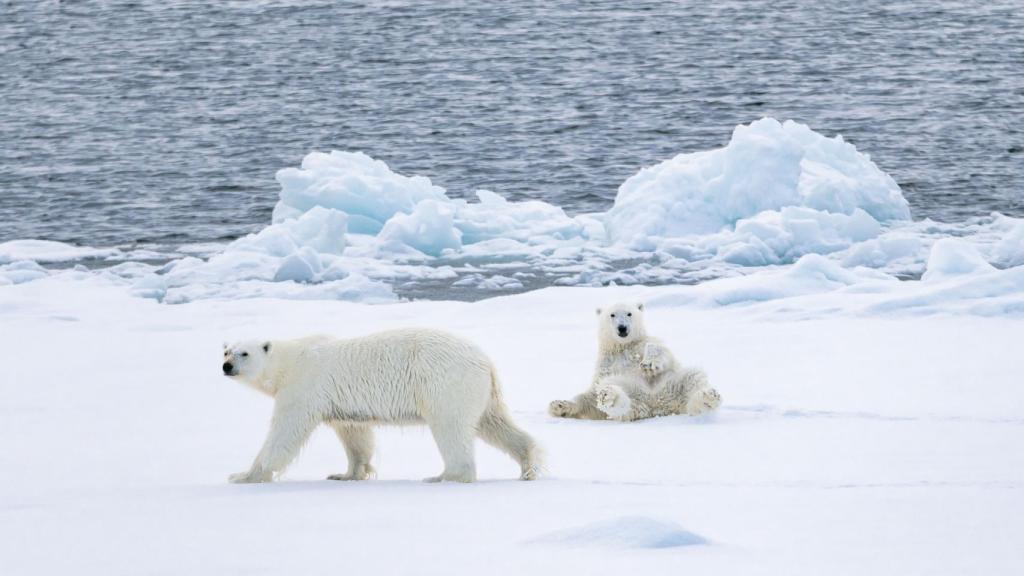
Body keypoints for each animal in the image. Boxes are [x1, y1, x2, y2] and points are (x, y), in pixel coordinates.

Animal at [222, 327, 544, 479]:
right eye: (226, 350)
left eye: (244, 353)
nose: (226, 366)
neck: (289, 361)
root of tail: (486, 361)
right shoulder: (340, 404)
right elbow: (355, 436)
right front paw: (346, 474)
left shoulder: (303, 388)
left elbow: (284, 433)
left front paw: (245, 475)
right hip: (482, 392)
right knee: (495, 423)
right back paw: (529, 464)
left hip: (445, 383)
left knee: (451, 428)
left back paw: (445, 476)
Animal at [552, 301, 720, 422]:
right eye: (612, 315)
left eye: (629, 313)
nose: (622, 328)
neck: (623, 346)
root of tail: (656, 406)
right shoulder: (606, 363)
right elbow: (592, 395)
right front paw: (559, 406)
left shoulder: (641, 345)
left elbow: (661, 351)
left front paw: (649, 364)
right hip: (631, 391)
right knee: (617, 399)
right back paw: (610, 397)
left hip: (671, 383)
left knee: (693, 377)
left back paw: (707, 399)